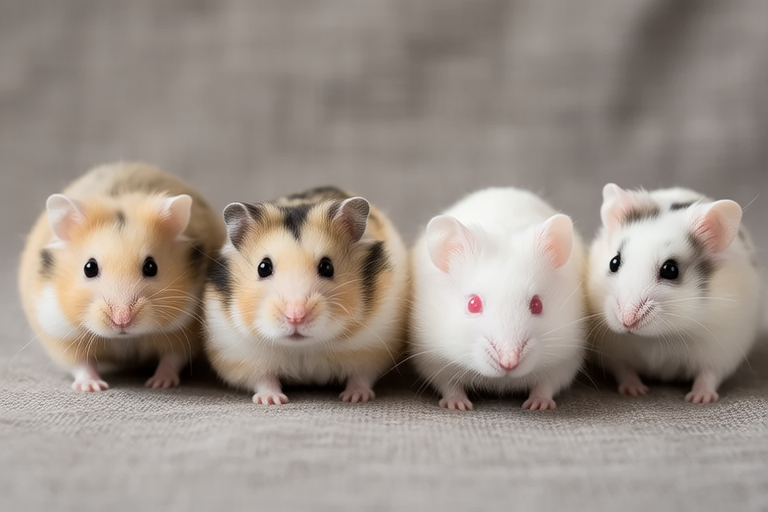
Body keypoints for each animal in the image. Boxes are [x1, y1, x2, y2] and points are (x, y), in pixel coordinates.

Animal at [18, 162, 227, 391]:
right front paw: (93, 387)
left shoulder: (182, 330)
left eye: (151, 267)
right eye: (89, 268)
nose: (122, 320)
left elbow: (172, 359)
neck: (124, 338)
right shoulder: (61, 332)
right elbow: (80, 363)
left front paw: (159, 384)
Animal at [203, 186, 409, 405]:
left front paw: (355, 398)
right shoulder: (241, 355)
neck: (303, 347)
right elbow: (263, 380)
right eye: (263, 267)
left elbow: (360, 376)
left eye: (327, 267)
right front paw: (272, 400)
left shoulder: (371, 350)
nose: (296, 317)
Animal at [409, 187, 588, 411]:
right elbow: (449, 384)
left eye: (537, 304)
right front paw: (458, 405)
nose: (509, 363)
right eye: (473, 304)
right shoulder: (433, 361)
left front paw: (538, 405)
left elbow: (546, 384)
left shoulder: (565, 361)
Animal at [587, 183, 763, 403]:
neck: (658, 337)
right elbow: (625, 372)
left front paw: (699, 399)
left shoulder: (720, 352)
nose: (627, 321)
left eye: (670, 270)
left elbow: (708, 375)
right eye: (614, 262)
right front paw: (635, 391)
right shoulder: (616, 355)